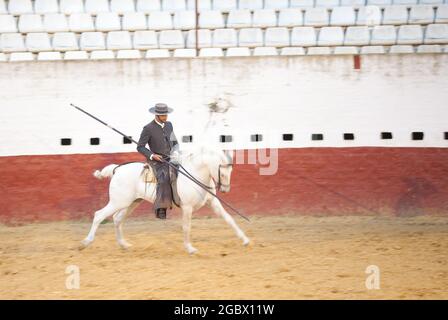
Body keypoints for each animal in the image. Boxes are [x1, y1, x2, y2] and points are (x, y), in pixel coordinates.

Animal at [79, 146, 248, 254]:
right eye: (223, 172)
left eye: (231, 170)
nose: (225, 190)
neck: (195, 175)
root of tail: (117, 169)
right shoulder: (187, 208)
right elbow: (186, 227)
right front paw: (190, 248)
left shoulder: (213, 202)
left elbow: (229, 219)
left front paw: (245, 240)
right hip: (118, 202)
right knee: (99, 215)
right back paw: (85, 243)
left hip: (131, 203)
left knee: (117, 219)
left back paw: (124, 244)